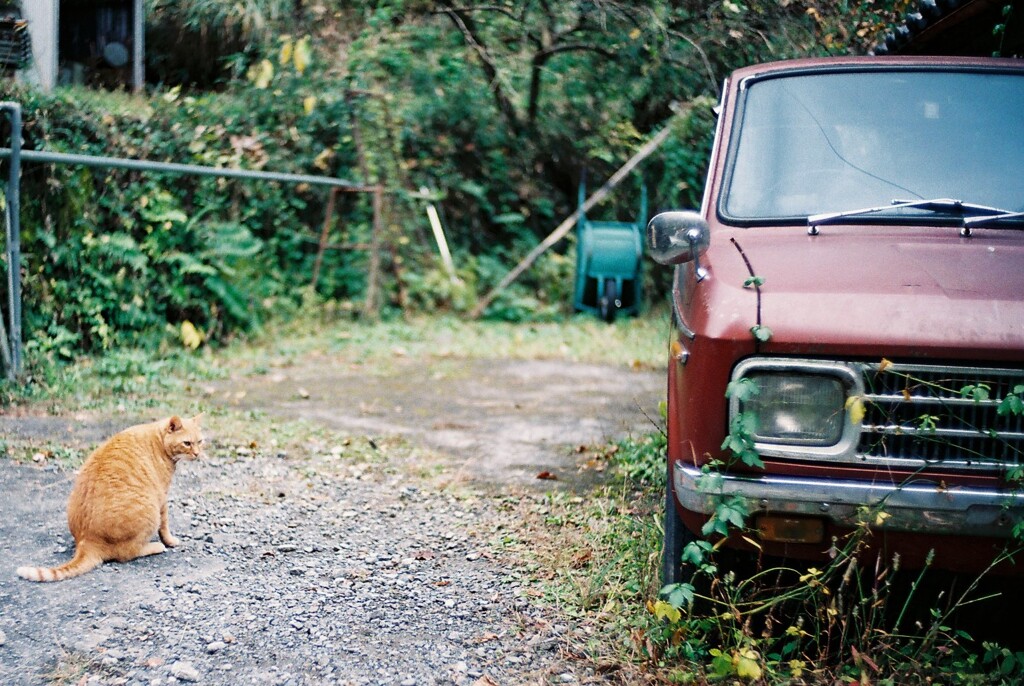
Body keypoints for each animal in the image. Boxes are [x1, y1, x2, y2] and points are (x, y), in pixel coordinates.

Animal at [17, 415, 204, 581]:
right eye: (187, 443)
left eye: (200, 442)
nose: (197, 454)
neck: (158, 440)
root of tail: (86, 541)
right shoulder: (162, 497)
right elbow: (165, 525)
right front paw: (170, 541)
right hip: (150, 511)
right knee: (127, 553)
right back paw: (155, 547)